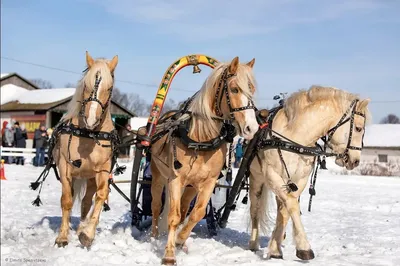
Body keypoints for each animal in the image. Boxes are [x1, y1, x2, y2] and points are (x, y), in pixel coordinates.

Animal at [51, 52, 118, 247]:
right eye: (86, 85)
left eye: (109, 88)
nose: (91, 119)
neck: (89, 135)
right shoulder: (65, 167)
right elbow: (66, 200)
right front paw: (62, 236)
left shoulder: (103, 170)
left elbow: (100, 196)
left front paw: (87, 233)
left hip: (89, 177)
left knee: (86, 202)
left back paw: (81, 227)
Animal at [150, 56, 260, 264]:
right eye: (234, 89)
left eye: (252, 89)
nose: (252, 128)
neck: (200, 140)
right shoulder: (176, 178)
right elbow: (173, 216)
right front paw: (169, 254)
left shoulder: (208, 182)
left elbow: (197, 213)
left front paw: (180, 240)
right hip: (159, 175)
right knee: (157, 205)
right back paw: (153, 236)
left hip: (190, 186)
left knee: (184, 207)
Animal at [248, 86, 370, 260]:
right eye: (359, 128)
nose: (355, 161)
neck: (294, 139)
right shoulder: (272, 174)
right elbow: (292, 205)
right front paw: (304, 247)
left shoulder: (299, 180)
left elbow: (286, 210)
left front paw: (275, 249)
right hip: (256, 179)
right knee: (255, 210)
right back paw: (253, 243)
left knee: (280, 208)